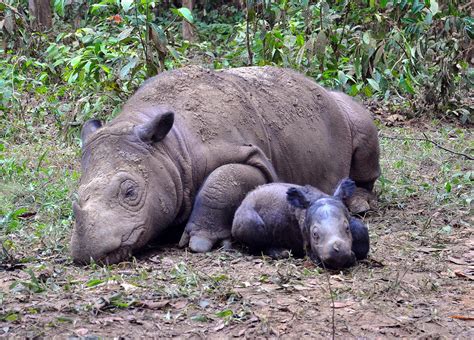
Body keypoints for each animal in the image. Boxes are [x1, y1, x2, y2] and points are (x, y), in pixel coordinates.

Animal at [231, 178, 370, 268]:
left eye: (347, 228)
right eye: (314, 234)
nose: (338, 256)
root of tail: (244, 200)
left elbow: (361, 231)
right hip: (244, 215)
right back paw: (281, 252)